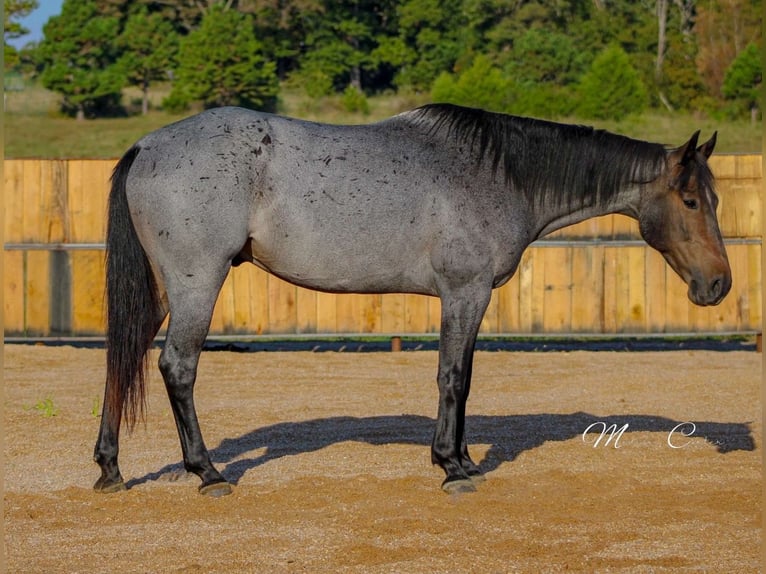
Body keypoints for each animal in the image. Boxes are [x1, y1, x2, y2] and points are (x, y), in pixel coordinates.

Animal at [93, 103, 731, 497]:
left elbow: (463, 377)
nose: (719, 284)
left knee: (121, 363)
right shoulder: (465, 292)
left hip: (162, 290)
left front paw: (463, 458)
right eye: (691, 201)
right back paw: (208, 473)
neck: (498, 173)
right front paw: (451, 466)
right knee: (177, 367)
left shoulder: (469, 297)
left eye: (715, 198)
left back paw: (110, 469)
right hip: (197, 283)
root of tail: (147, 145)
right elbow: (454, 377)